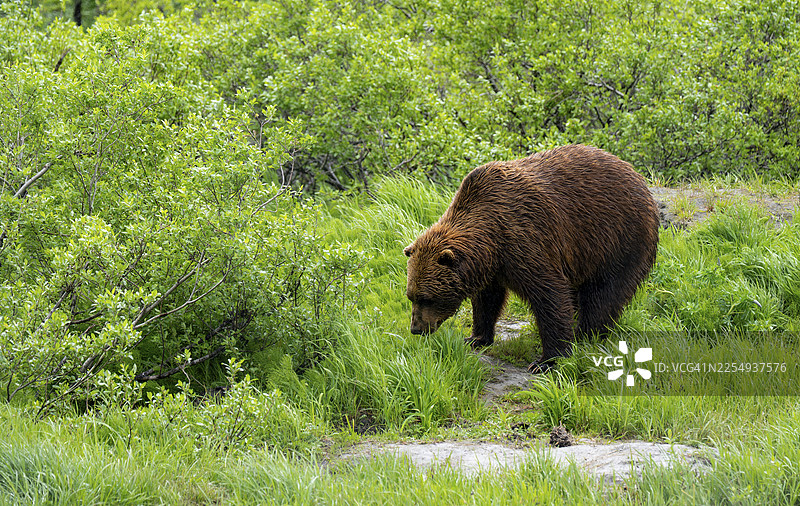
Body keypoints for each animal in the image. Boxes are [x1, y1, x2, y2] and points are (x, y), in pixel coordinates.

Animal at [403, 144, 659, 372]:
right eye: (411, 296)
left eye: (427, 298)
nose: (416, 328)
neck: (492, 239)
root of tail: (639, 178)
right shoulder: (492, 266)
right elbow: (487, 299)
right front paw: (476, 338)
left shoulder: (526, 240)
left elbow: (550, 294)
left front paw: (547, 360)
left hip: (616, 239)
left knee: (604, 293)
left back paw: (587, 335)